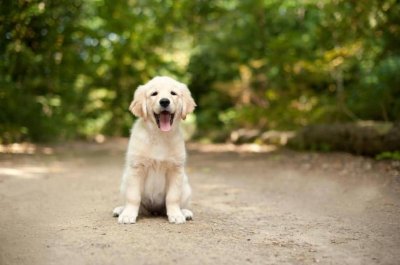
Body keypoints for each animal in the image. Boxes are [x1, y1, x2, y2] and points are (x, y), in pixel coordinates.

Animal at [111, 76, 196, 223]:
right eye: (154, 94)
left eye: (173, 93)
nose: (164, 101)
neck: (159, 135)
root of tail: (154, 211)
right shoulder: (136, 168)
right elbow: (133, 197)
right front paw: (128, 215)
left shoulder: (175, 169)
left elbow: (173, 197)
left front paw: (176, 215)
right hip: (124, 182)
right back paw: (121, 210)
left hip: (186, 186)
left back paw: (184, 212)